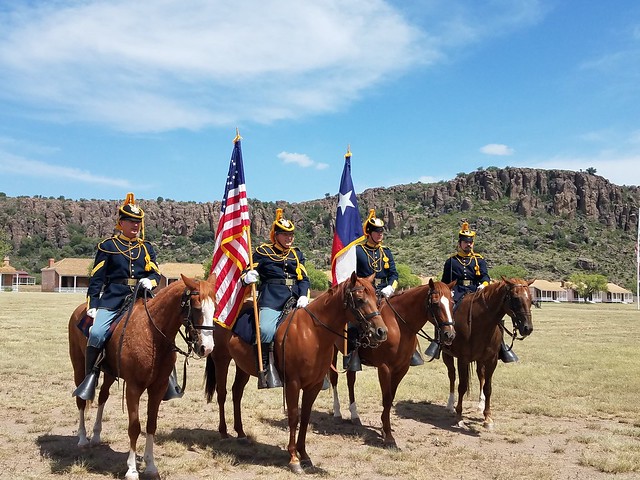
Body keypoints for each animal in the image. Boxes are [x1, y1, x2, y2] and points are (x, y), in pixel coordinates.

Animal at [69, 274, 216, 480]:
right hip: (79, 368)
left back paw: (96, 435)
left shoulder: (158, 388)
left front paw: (151, 466)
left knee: (102, 397)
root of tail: (79, 310)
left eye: (215, 308)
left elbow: (151, 425)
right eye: (196, 307)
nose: (207, 348)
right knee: (81, 401)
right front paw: (131, 469)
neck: (152, 334)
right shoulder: (133, 388)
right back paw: (82, 438)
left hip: (109, 373)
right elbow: (134, 427)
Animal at [205, 272, 388, 474]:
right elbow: (293, 417)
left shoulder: (314, 385)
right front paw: (294, 458)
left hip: (242, 367)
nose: (381, 332)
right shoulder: (293, 383)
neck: (313, 333)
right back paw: (223, 432)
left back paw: (241, 433)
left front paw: (305, 455)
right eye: (360, 299)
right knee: (222, 394)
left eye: (377, 300)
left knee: (237, 393)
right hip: (221, 360)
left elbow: (306, 417)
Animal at [328, 280, 458, 448]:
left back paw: (354, 415)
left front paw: (385, 430)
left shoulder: (401, 369)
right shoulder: (384, 368)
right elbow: (386, 398)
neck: (398, 327)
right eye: (435, 303)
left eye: (452, 303)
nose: (450, 334)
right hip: (332, 352)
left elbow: (391, 398)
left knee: (351, 381)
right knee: (334, 378)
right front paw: (388, 435)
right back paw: (337, 412)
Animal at [440, 276, 536, 430]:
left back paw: (480, 405)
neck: (479, 322)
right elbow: (462, 386)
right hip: (447, 355)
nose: (528, 328)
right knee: (452, 375)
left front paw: (488, 418)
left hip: (480, 360)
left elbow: (488, 387)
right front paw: (459, 417)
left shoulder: (491, 360)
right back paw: (450, 405)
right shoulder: (463, 359)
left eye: (531, 299)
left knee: (481, 376)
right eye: (515, 298)